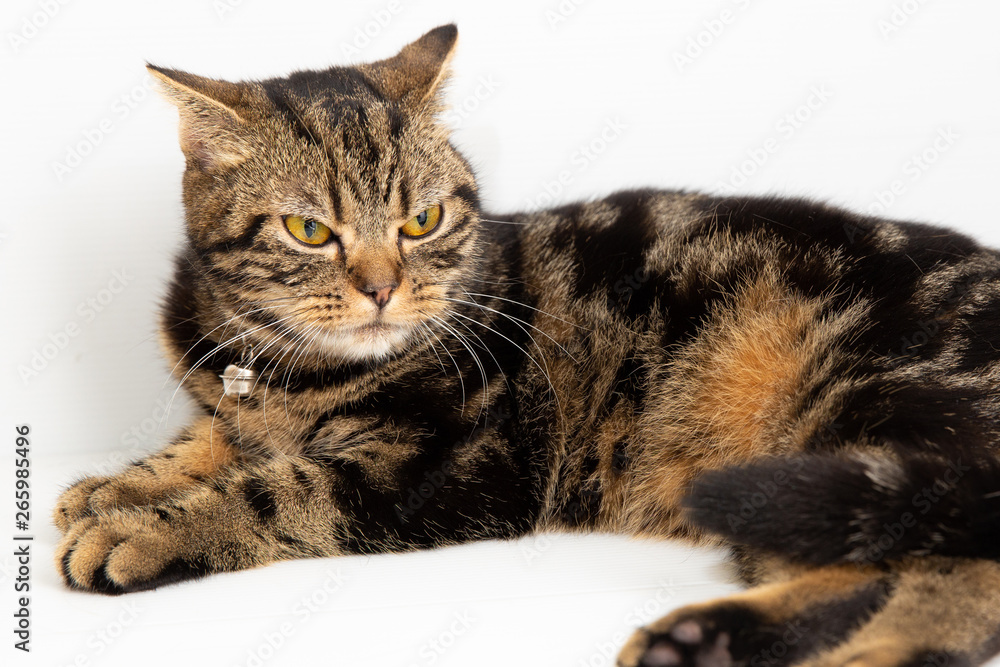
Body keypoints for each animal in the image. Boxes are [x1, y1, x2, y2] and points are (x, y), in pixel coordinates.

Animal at [56, 24, 1000, 667]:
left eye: (422, 220)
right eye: (308, 230)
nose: (381, 286)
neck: (289, 370)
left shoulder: (441, 468)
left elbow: (273, 490)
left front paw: (136, 528)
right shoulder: (240, 403)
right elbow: (205, 440)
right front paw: (111, 486)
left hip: (868, 411)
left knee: (958, 577)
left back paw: (862, 652)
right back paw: (707, 635)